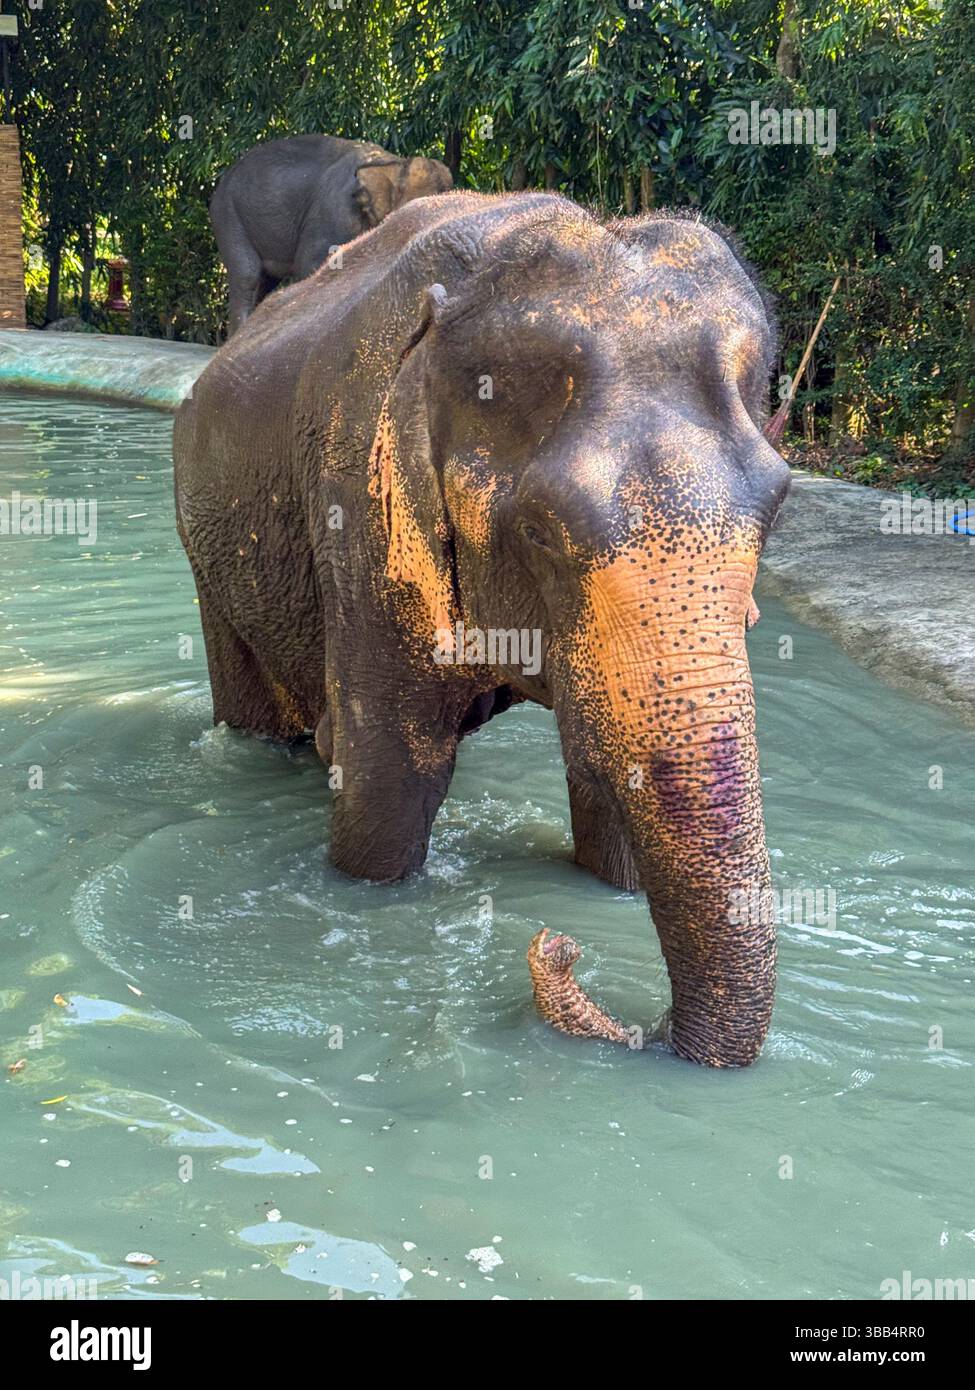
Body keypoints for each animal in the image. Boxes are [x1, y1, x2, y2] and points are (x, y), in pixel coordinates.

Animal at [174, 190, 790, 1068]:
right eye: (540, 532)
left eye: (777, 508)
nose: (560, 947)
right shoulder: (359, 504)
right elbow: (392, 781)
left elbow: (607, 792)